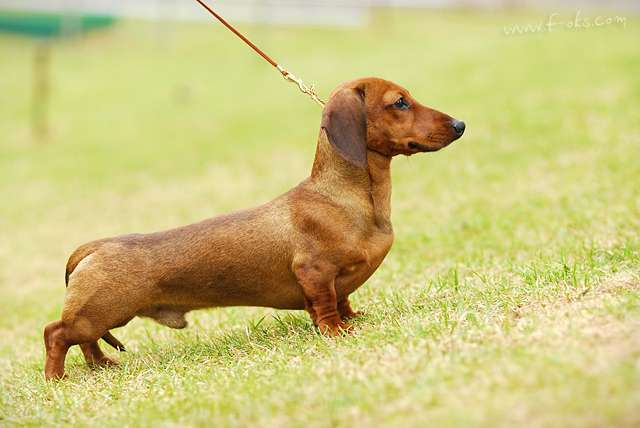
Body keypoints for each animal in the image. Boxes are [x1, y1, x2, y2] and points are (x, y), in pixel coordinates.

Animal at [43, 77, 464, 378]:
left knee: (85, 341)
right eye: (399, 102)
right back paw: (56, 378)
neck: (343, 197)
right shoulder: (315, 273)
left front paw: (353, 319)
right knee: (55, 333)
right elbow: (326, 306)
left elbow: (343, 300)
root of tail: (95, 246)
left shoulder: (339, 282)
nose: (461, 123)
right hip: (99, 313)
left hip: (98, 317)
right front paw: (336, 332)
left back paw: (101, 365)